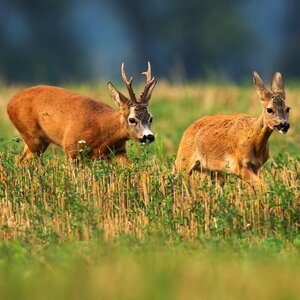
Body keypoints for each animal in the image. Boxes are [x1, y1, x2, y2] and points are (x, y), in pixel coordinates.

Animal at [7, 61, 157, 163]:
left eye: (151, 118)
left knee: (22, 161)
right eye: (132, 119)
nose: (149, 136)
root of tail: (10, 103)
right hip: (31, 136)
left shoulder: (119, 151)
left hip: (38, 140)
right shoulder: (71, 148)